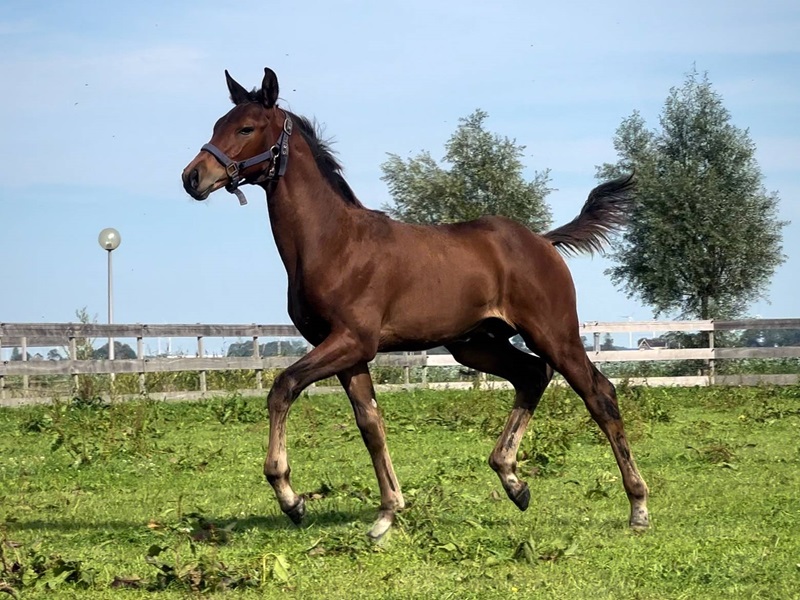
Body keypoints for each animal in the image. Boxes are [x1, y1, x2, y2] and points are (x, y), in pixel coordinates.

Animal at [182, 68, 649, 540]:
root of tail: (543, 241)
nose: (192, 177)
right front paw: (387, 514)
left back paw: (638, 506)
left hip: (554, 333)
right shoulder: (347, 352)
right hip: (476, 344)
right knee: (533, 375)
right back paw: (513, 481)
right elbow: (370, 424)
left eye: (246, 128)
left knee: (599, 394)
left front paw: (291, 498)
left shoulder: (352, 341)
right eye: (217, 124)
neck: (333, 242)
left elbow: (283, 387)